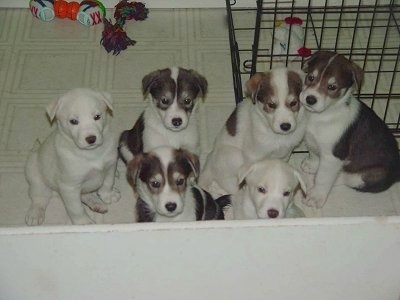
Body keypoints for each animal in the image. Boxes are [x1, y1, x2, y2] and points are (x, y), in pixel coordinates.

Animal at [24, 88, 120, 226]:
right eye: (73, 121)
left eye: (97, 117)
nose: (91, 139)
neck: (91, 154)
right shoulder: (69, 187)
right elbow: (76, 208)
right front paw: (83, 222)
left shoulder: (110, 166)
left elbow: (108, 182)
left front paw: (108, 195)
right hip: (37, 180)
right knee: (39, 199)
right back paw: (35, 214)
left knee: (84, 195)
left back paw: (97, 203)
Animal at [199, 67, 306, 196]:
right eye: (271, 105)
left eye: (293, 103)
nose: (285, 126)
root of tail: (208, 166)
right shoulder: (253, 155)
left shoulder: (286, 153)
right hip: (234, 156)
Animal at [300, 50, 400, 207]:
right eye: (310, 77)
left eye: (332, 87)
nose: (310, 99)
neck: (323, 115)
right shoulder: (312, 141)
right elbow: (314, 154)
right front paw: (312, 165)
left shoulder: (333, 157)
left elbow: (323, 178)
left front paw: (315, 196)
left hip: (370, 175)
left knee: (348, 179)